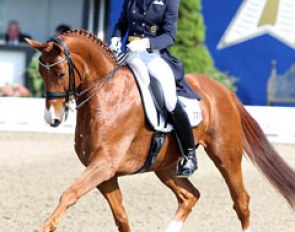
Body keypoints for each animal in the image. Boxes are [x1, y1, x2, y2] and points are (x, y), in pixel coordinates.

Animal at [26, 29, 295, 231]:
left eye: (60, 72)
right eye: (40, 72)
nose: (52, 118)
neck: (108, 95)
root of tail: (224, 90)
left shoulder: (104, 165)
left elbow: (69, 194)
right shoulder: (104, 173)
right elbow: (121, 216)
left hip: (225, 155)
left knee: (241, 200)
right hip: (165, 166)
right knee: (190, 196)